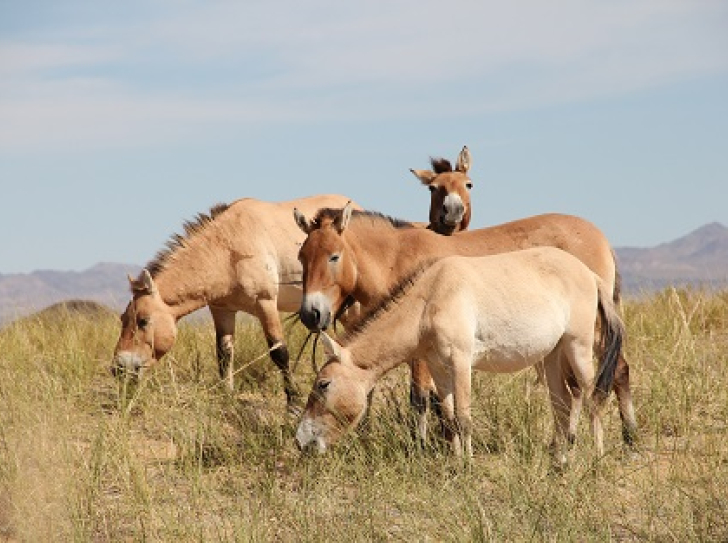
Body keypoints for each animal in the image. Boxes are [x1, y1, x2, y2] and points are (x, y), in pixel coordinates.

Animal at [112, 194, 360, 408]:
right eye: (123, 319)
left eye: (143, 321)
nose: (119, 368)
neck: (227, 250)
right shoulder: (222, 310)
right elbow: (224, 353)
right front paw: (227, 395)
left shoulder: (265, 304)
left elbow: (279, 353)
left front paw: (293, 403)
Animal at [290, 204, 636, 446]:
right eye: (302, 257)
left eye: (333, 257)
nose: (311, 315)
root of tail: (600, 240)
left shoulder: (431, 358)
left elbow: (421, 399)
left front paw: (422, 446)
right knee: (576, 390)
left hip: (588, 338)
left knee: (611, 375)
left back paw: (624, 442)